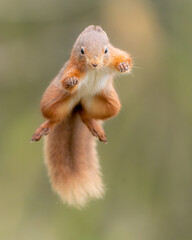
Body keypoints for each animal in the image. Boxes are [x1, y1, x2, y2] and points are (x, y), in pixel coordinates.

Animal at [31, 25, 132, 207]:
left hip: (109, 104)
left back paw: (91, 122)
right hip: (52, 101)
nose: (95, 63)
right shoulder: (73, 67)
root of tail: (78, 105)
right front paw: (71, 82)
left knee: (86, 114)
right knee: (56, 117)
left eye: (106, 50)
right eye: (82, 51)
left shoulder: (114, 54)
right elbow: (68, 78)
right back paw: (47, 126)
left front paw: (123, 65)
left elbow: (125, 58)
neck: (93, 70)